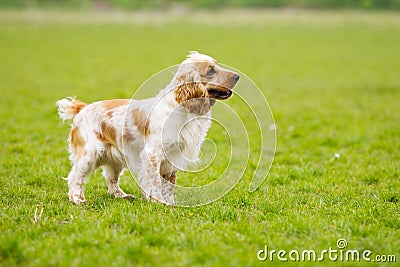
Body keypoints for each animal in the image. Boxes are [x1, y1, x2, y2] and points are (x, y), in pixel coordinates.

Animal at [57, 52, 239, 207]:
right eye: (210, 70)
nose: (237, 76)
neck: (181, 109)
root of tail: (83, 108)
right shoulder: (152, 153)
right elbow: (155, 182)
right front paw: (159, 202)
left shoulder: (172, 158)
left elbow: (169, 185)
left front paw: (170, 203)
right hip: (89, 154)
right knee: (75, 177)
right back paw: (78, 199)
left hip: (115, 160)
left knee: (111, 179)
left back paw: (122, 196)